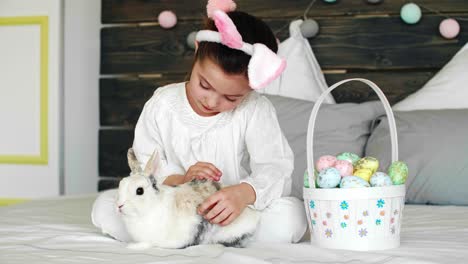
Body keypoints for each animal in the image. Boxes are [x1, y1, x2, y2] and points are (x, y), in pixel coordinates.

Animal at [114, 148, 260, 250]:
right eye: (121, 184)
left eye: (140, 191)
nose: (119, 206)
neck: (152, 205)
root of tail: (254, 217)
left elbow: (148, 243)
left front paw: (132, 247)